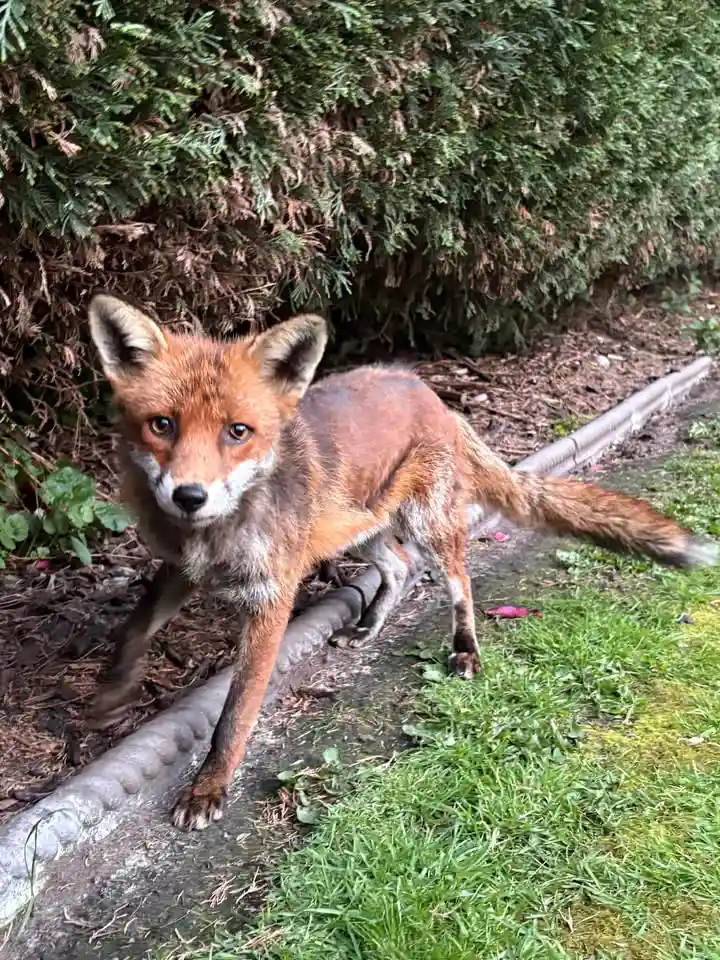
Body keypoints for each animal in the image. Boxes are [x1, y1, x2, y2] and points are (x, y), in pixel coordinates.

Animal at [87, 291, 717, 832]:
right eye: (162, 425)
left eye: (237, 431)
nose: (189, 496)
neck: (213, 536)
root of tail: (426, 389)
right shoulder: (181, 568)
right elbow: (134, 626)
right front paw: (113, 692)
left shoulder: (272, 597)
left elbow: (234, 715)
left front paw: (208, 787)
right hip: (355, 529)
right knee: (398, 567)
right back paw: (367, 627)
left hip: (426, 524)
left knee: (456, 580)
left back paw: (465, 650)